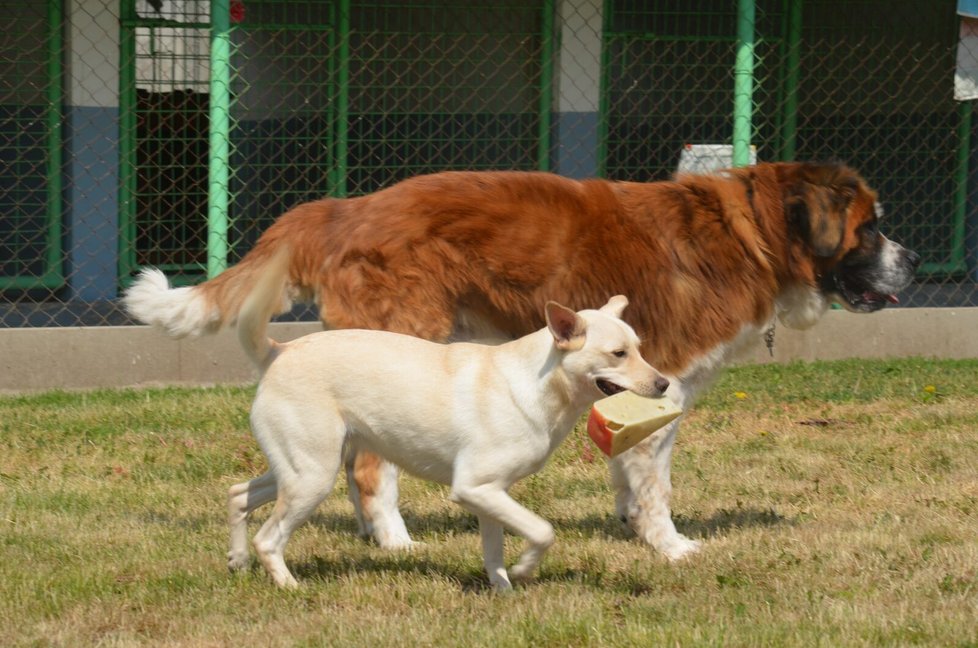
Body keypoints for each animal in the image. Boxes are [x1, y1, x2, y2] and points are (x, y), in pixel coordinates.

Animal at [227, 256, 672, 588]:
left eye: (639, 348)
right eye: (618, 354)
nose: (665, 383)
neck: (537, 382)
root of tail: (279, 351)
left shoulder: (490, 495)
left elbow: (494, 553)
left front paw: (503, 590)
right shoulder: (473, 488)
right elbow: (543, 531)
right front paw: (525, 569)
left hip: (298, 470)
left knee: (238, 496)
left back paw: (237, 561)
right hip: (312, 478)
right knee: (269, 539)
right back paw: (289, 585)